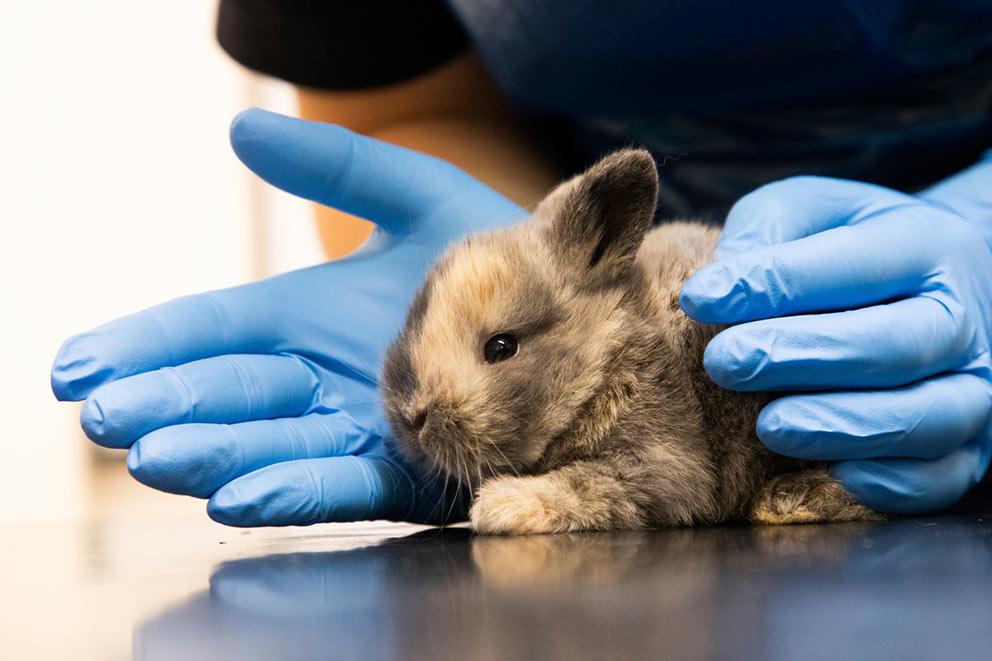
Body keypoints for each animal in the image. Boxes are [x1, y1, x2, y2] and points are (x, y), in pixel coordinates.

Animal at [380, 150, 876, 536]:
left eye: (501, 347)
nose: (413, 417)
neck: (607, 360)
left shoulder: (662, 461)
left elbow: (588, 483)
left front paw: (504, 505)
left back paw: (788, 499)